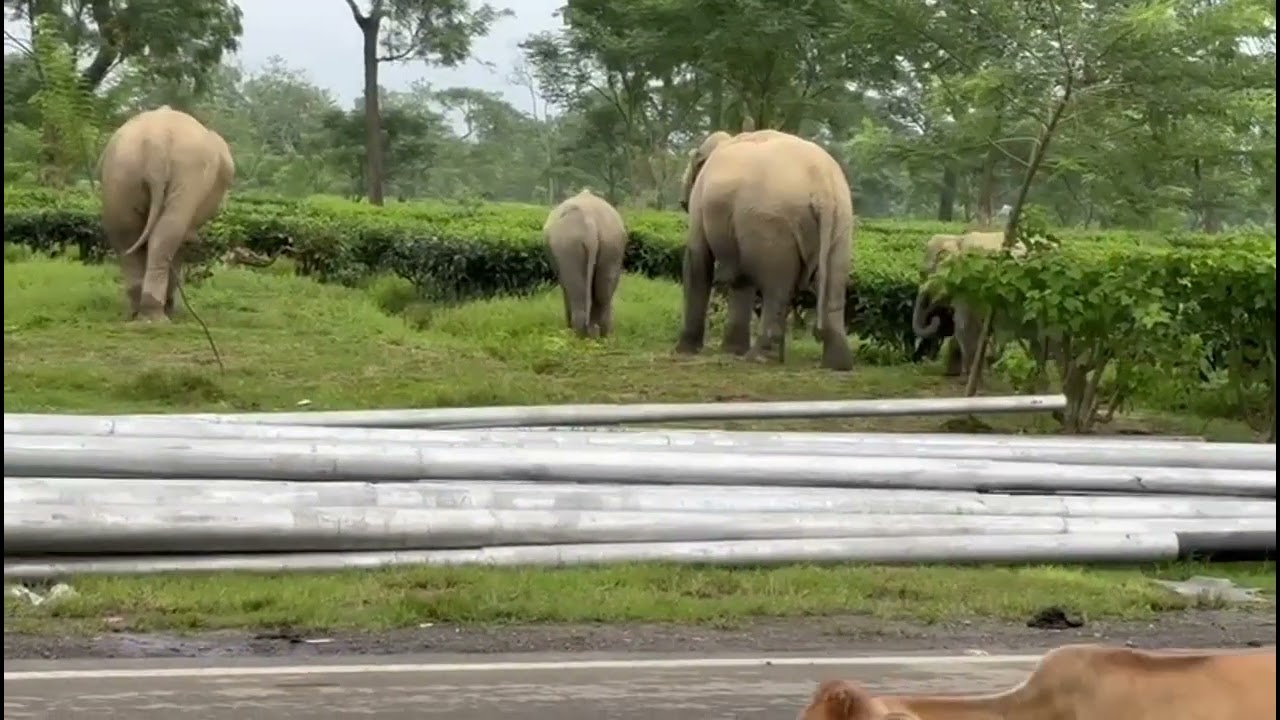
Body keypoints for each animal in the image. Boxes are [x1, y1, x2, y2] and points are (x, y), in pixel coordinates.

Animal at [97, 105, 235, 322]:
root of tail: (156, 140)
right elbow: (181, 242)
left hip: (121, 171)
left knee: (125, 233)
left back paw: (138, 312)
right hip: (188, 171)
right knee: (166, 234)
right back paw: (156, 316)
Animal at [543, 188, 628, 338]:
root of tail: (590, 222)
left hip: (568, 246)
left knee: (576, 291)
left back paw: (577, 335)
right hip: (612, 244)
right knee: (604, 294)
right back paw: (603, 336)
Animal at [676, 129, 856, 371]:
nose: (681, 201)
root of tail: (823, 186)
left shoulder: (700, 202)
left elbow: (697, 257)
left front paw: (684, 351)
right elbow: (742, 278)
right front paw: (733, 351)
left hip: (773, 227)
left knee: (777, 289)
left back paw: (759, 357)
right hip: (841, 222)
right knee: (834, 284)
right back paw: (838, 365)